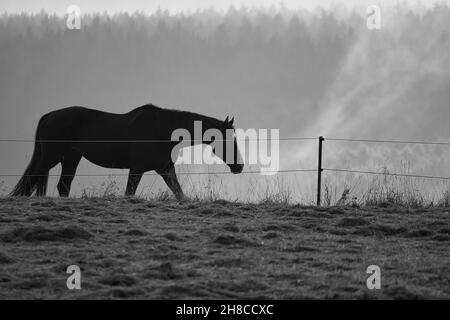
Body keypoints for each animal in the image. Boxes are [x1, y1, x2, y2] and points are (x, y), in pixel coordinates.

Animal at [9, 104, 243, 199]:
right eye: (229, 140)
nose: (239, 166)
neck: (162, 129)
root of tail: (49, 115)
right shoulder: (137, 169)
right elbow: (129, 192)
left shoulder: (165, 169)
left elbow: (179, 193)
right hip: (51, 156)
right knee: (31, 180)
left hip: (71, 158)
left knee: (63, 185)